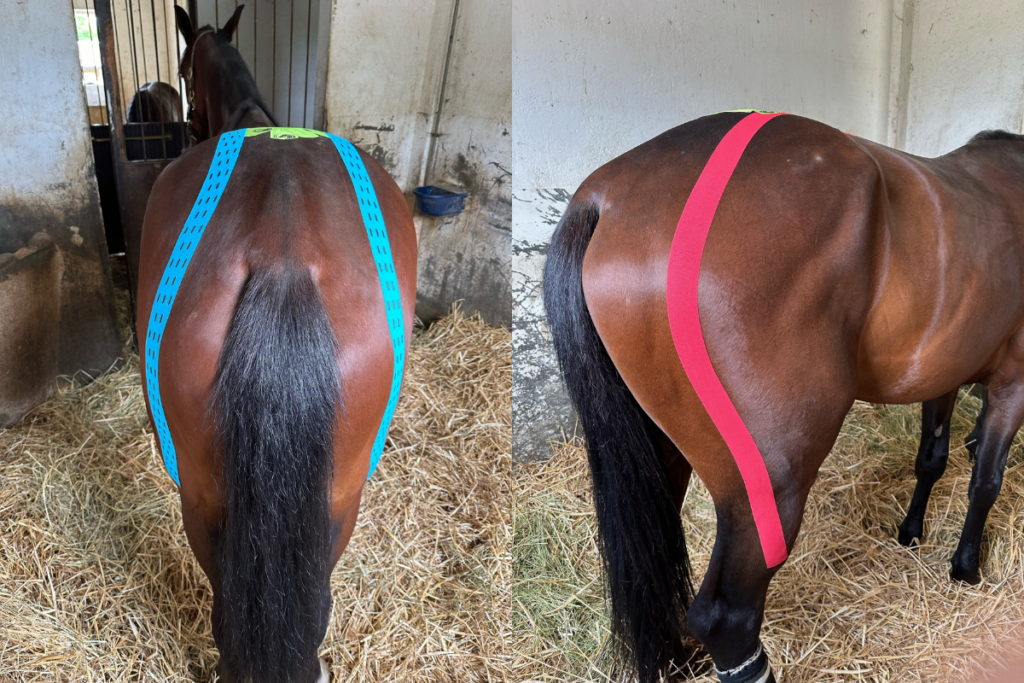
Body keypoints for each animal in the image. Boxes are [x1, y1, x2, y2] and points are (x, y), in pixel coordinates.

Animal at [543, 110, 1024, 683]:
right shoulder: (1013, 383)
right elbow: (986, 481)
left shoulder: (943, 374)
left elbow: (931, 458)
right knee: (727, 618)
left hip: (660, 461)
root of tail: (605, 198)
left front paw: (911, 531)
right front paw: (966, 566)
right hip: (771, 489)